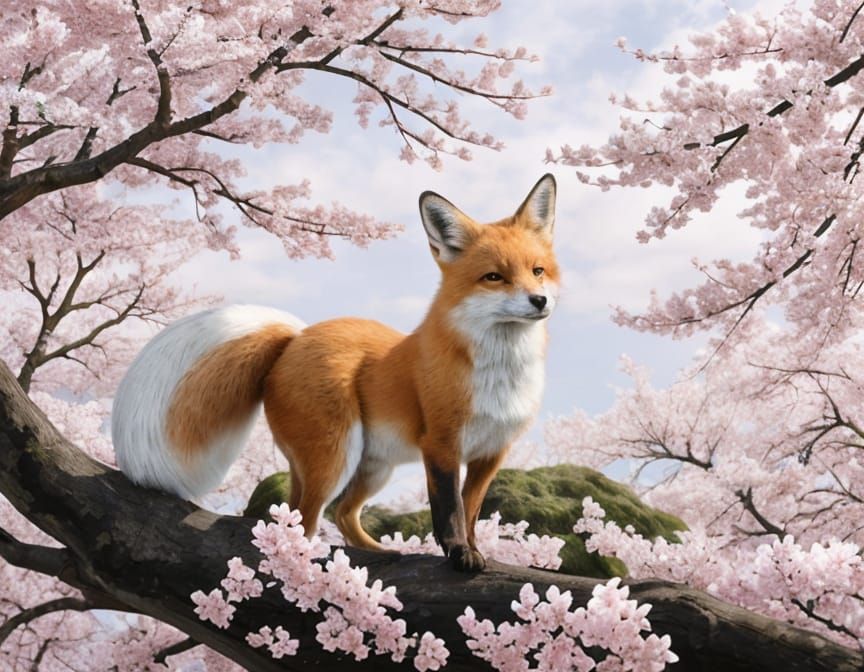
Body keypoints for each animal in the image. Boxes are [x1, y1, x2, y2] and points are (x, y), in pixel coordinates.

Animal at [112, 174, 559, 572]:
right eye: (494, 277)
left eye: (538, 271)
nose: (539, 301)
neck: (500, 376)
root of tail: (296, 337)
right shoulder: (441, 444)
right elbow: (449, 511)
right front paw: (458, 555)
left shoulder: (490, 453)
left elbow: (470, 511)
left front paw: (474, 550)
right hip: (334, 456)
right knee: (306, 521)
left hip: (370, 466)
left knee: (335, 513)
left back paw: (381, 553)